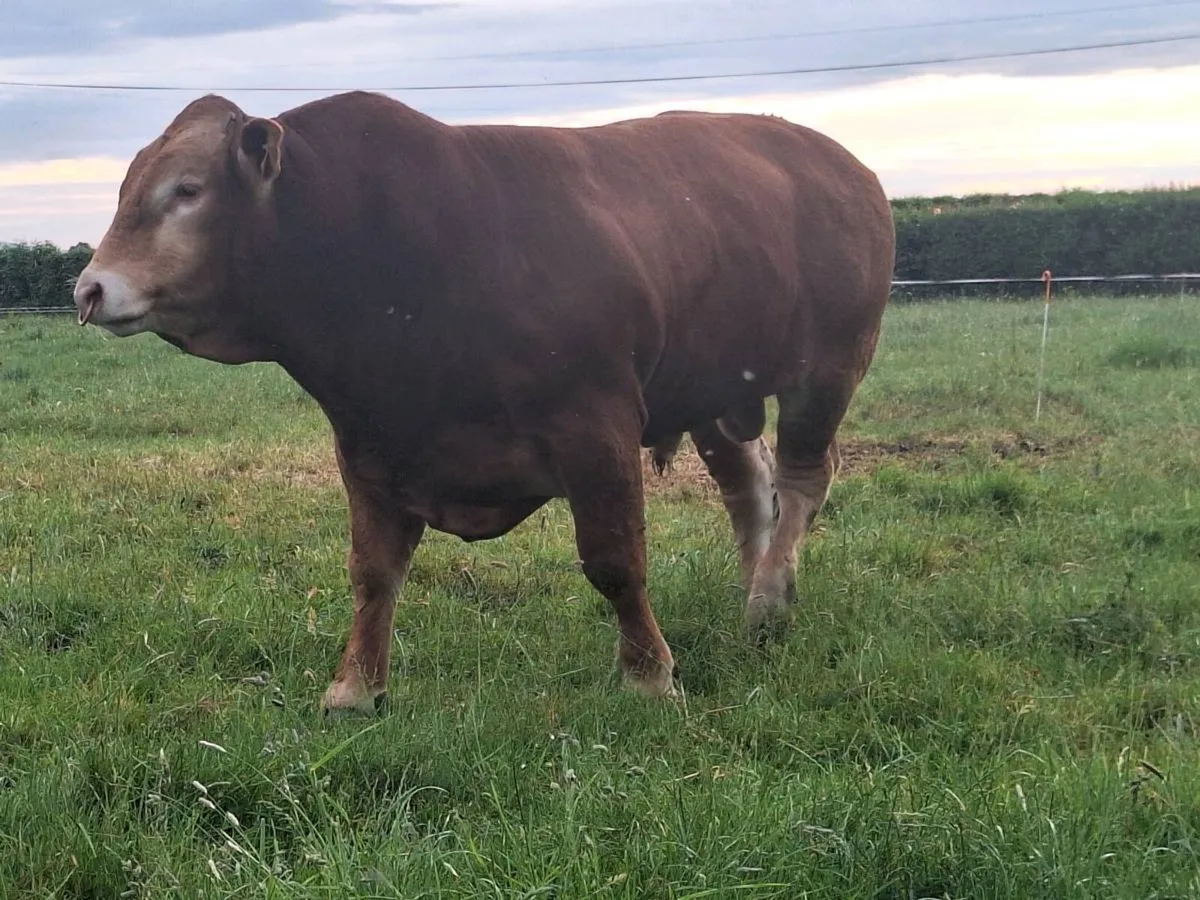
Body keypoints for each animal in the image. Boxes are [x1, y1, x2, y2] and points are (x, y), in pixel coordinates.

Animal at [72, 90, 895, 715]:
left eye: (186, 191)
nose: (89, 288)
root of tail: (840, 161)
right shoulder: (371, 444)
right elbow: (373, 571)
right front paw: (355, 688)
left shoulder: (596, 428)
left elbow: (615, 561)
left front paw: (648, 675)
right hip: (714, 387)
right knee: (749, 487)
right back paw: (755, 595)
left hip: (829, 367)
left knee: (802, 480)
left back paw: (769, 598)